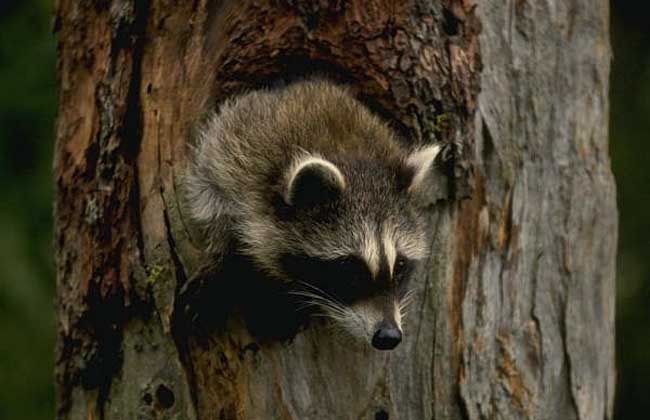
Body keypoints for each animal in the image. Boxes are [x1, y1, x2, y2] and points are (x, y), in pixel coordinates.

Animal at [184, 79, 440, 352]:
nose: (388, 336)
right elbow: (212, 200)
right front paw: (222, 262)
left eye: (400, 265)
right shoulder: (232, 151)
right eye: (349, 267)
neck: (350, 154)